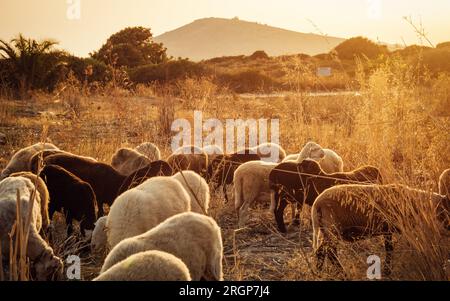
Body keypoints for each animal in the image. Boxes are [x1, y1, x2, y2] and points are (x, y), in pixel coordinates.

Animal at [312, 183, 448, 274]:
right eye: (446, 209)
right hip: (332, 228)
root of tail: (317, 203)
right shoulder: (389, 227)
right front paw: (387, 270)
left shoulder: (386, 229)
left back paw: (319, 272)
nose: (449, 226)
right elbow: (390, 248)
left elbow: (389, 248)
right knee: (330, 252)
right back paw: (342, 273)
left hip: (325, 230)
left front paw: (387, 269)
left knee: (321, 251)